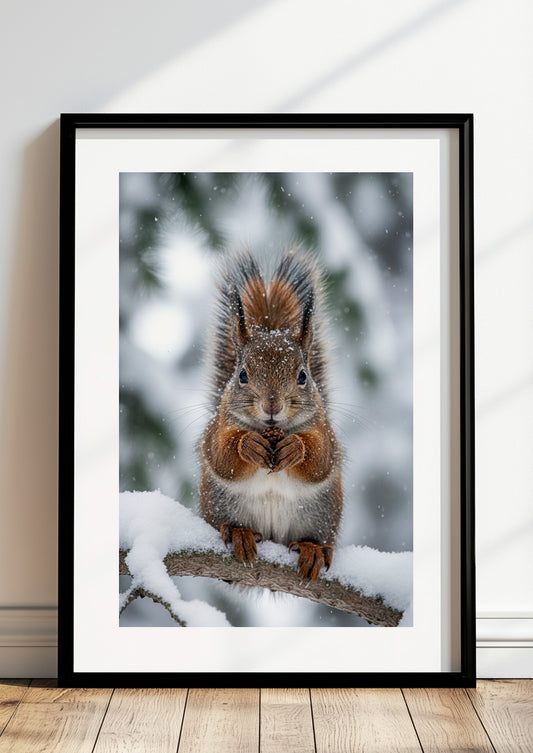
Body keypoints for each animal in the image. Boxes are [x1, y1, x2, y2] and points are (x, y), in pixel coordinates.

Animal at [199, 250, 342, 581]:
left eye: (303, 376)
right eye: (241, 375)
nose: (272, 406)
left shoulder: (324, 430)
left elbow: (320, 459)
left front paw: (295, 448)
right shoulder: (218, 427)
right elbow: (221, 455)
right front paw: (248, 445)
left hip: (321, 515)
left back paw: (312, 550)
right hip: (220, 505)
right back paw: (239, 533)